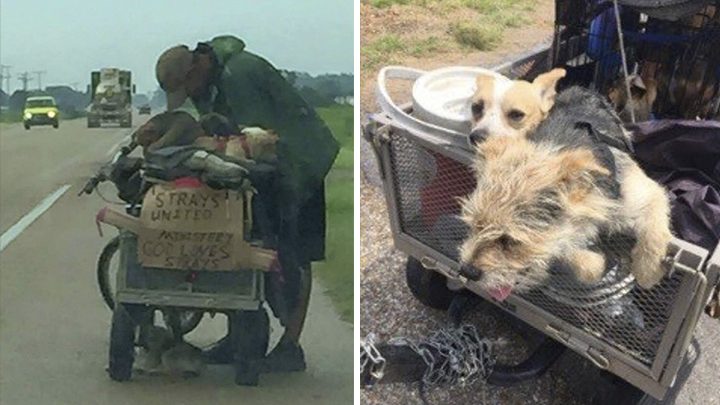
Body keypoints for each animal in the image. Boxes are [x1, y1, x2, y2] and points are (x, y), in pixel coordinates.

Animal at [458, 86, 672, 300]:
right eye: (474, 226)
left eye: (509, 240)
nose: (466, 271)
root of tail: (581, 88)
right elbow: (568, 250)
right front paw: (593, 262)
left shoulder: (648, 194)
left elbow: (654, 232)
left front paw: (647, 271)